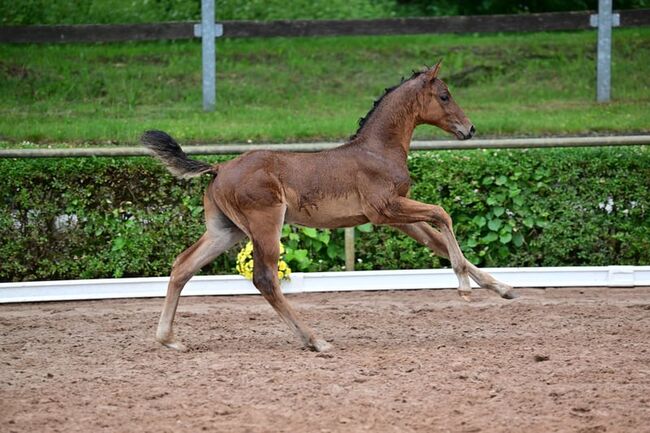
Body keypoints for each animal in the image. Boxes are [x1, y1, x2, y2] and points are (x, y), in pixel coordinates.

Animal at [142, 61, 516, 352]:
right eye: (444, 96)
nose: (470, 129)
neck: (377, 150)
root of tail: (219, 168)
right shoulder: (386, 209)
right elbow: (443, 214)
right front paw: (464, 288)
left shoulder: (397, 216)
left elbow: (438, 239)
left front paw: (503, 288)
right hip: (265, 225)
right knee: (264, 279)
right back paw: (315, 340)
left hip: (225, 230)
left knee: (183, 266)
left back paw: (169, 339)